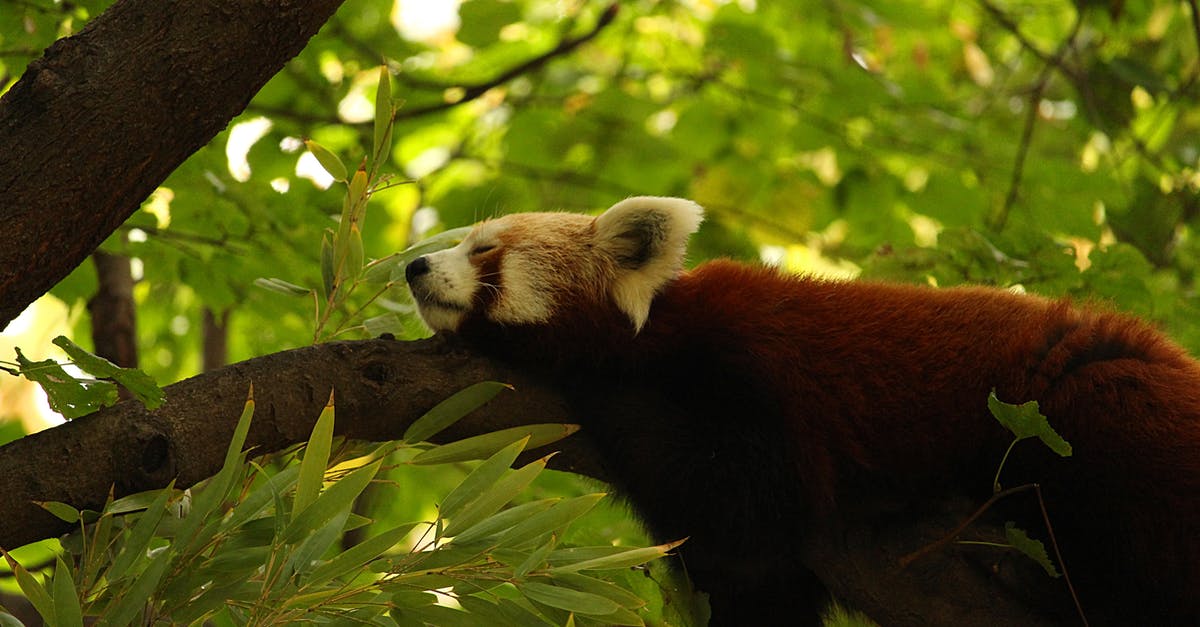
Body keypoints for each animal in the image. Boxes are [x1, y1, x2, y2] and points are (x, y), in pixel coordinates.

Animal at [404, 196, 1200, 626]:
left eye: (484, 250)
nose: (412, 266)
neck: (655, 332)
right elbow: (750, 577)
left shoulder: (751, 375)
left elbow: (749, 511)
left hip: (1091, 414)